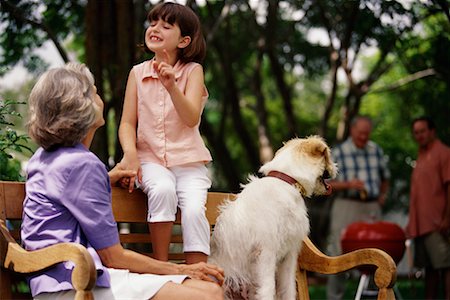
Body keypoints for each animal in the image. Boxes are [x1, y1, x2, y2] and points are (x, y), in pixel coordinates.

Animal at [209, 136, 336, 300]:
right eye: (327, 155)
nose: (336, 168)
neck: (287, 182)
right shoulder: (266, 253)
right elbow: (268, 288)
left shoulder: (289, 255)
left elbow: (288, 288)